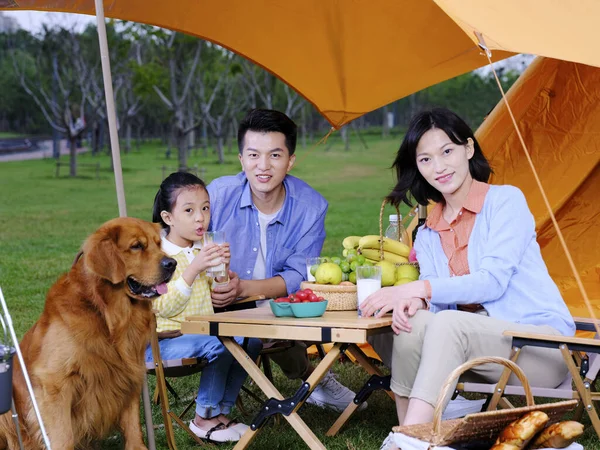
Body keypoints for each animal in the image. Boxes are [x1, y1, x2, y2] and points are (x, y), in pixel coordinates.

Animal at [0, 216, 176, 448]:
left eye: (158, 244)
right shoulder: (54, 383)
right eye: (136, 246)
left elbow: (133, 427)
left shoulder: (129, 373)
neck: (105, 314)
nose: (172, 264)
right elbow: (63, 436)